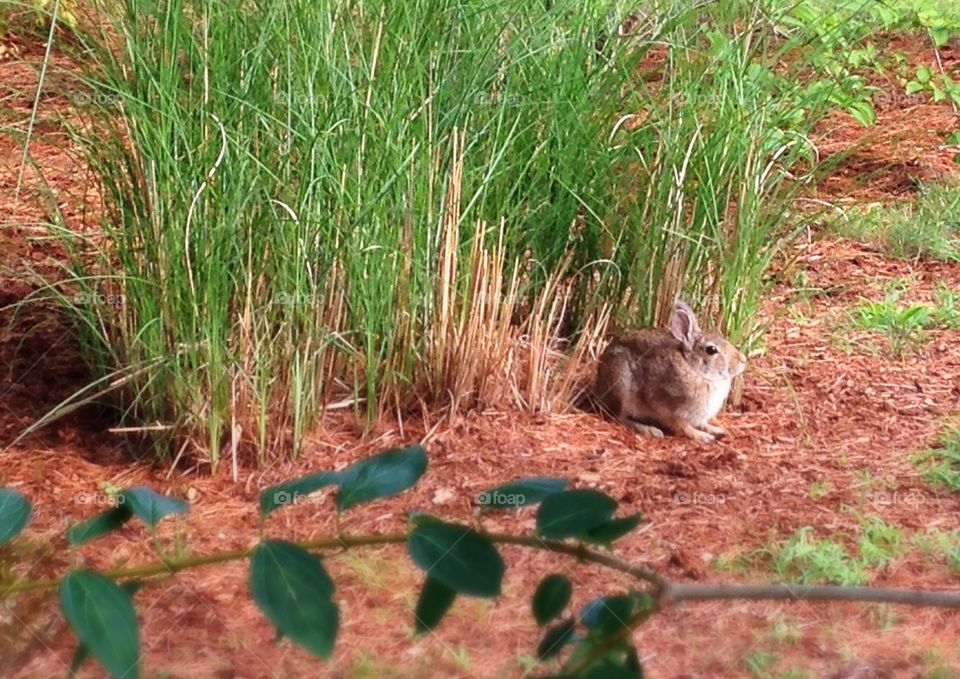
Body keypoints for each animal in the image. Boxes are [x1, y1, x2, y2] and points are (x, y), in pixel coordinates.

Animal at [592, 300, 752, 444]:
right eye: (711, 350)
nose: (743, 360)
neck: (694, 368)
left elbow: (703, 423)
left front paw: (716, 430)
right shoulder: (669, 409)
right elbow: (682, 426)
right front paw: (702, 437)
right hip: (622, 386)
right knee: (618, 417)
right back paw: (650, 430)